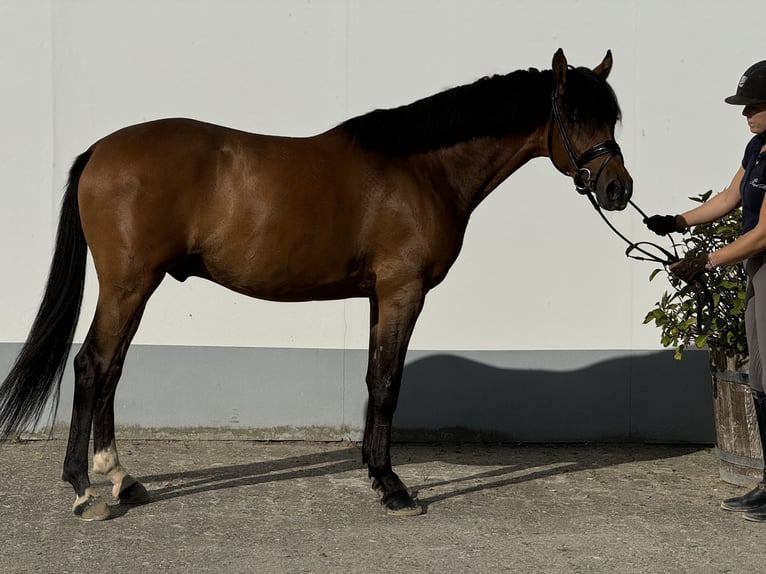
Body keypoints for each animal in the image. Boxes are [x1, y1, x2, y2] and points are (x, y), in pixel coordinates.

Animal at [0, 49, 632, 520]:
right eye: (576, 116)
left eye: (612, 118)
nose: (618, 189)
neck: (422, 169)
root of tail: (99, 151)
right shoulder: (403, 291)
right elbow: (387, 384)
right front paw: (393, 487)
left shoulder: (381, 294)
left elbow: (377, 380)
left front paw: (376, 473)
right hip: (129, 283)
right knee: (93, 366)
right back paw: (84, 488)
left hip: (138, 286)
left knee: (111, 369)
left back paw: (122, 479)